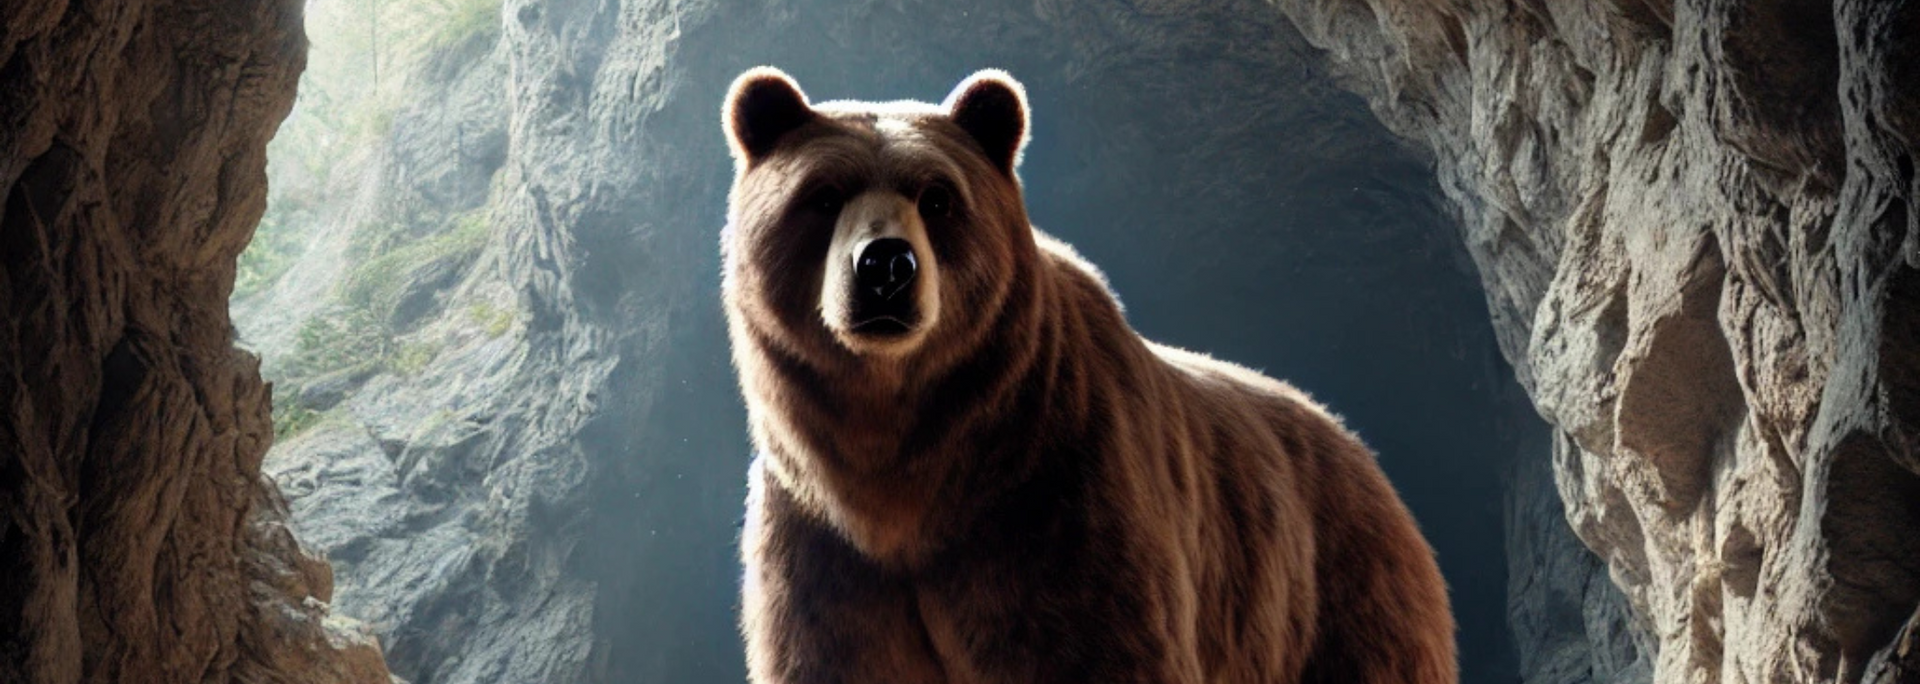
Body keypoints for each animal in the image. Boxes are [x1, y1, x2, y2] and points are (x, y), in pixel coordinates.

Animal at [720, 66, 1457, 684]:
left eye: (938, 198)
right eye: (823, 196)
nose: (885, 266)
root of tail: (1354, 444)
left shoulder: (1056, 502)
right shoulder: (824, 552)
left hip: (1340, 594)